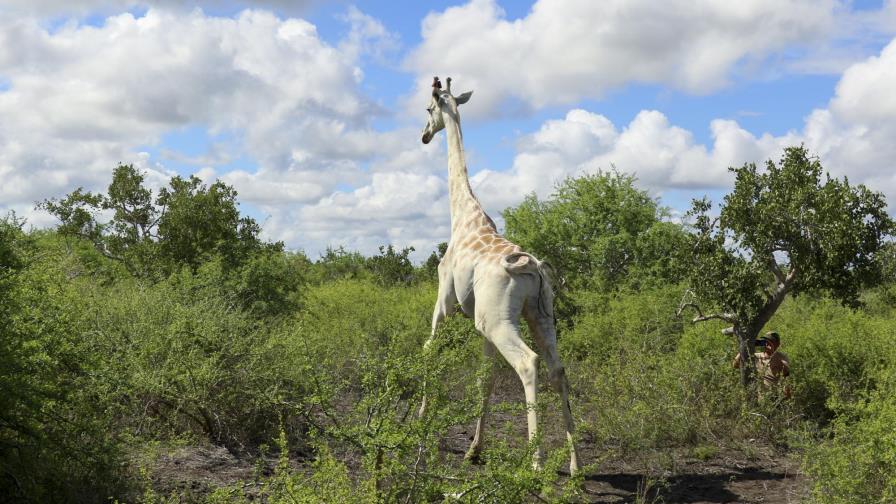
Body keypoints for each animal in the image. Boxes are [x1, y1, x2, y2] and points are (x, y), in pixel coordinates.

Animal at [419, 76, 580, 474]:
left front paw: (421, 422)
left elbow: (429, 349)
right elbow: (484, 378)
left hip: (500, 320)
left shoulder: (444, 304)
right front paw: (474, 450)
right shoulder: (480, 324)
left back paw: (536, 465)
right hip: (538, 314)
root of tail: (532, 268)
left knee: (529, 363)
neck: (462, 215)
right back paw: (574, 466)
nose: (424, 135)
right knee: (558, 369)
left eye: (428, 109)